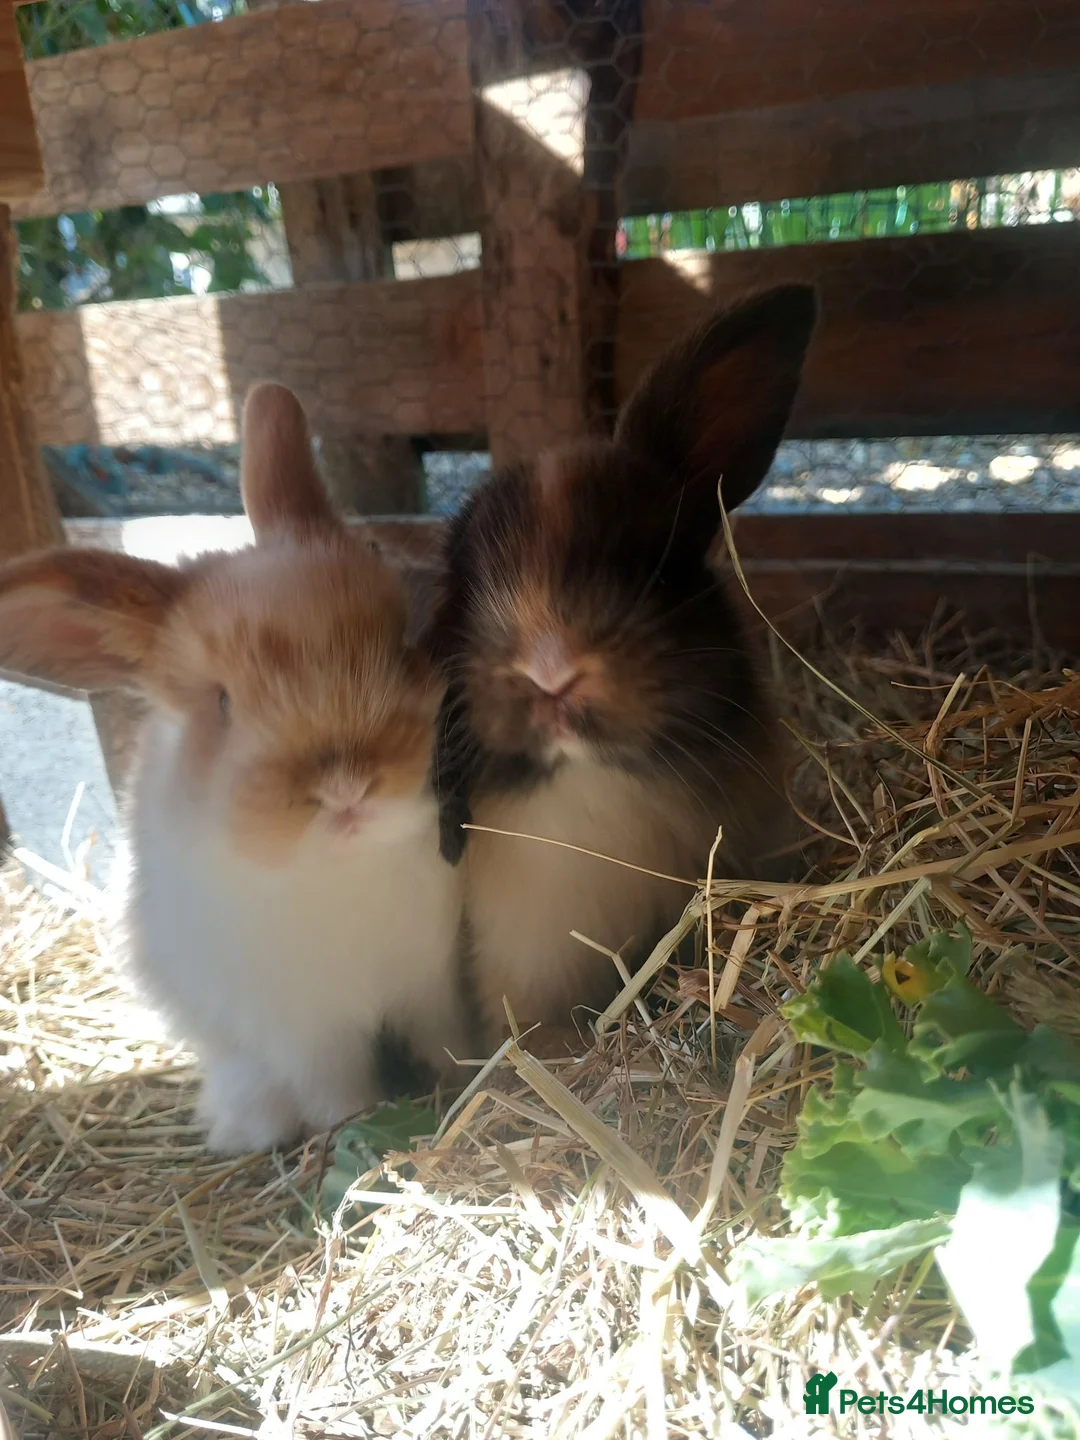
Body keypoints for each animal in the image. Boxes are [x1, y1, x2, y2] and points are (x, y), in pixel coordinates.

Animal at [0, 383, 468, 1153]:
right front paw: (354, 1124)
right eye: (222, 703)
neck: (349, 868)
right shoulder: (304, 1030)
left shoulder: (434, 985)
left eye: (402, 639)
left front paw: (478, 1074)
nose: (346, 786)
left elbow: (449, 1041)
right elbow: (335, 1086)